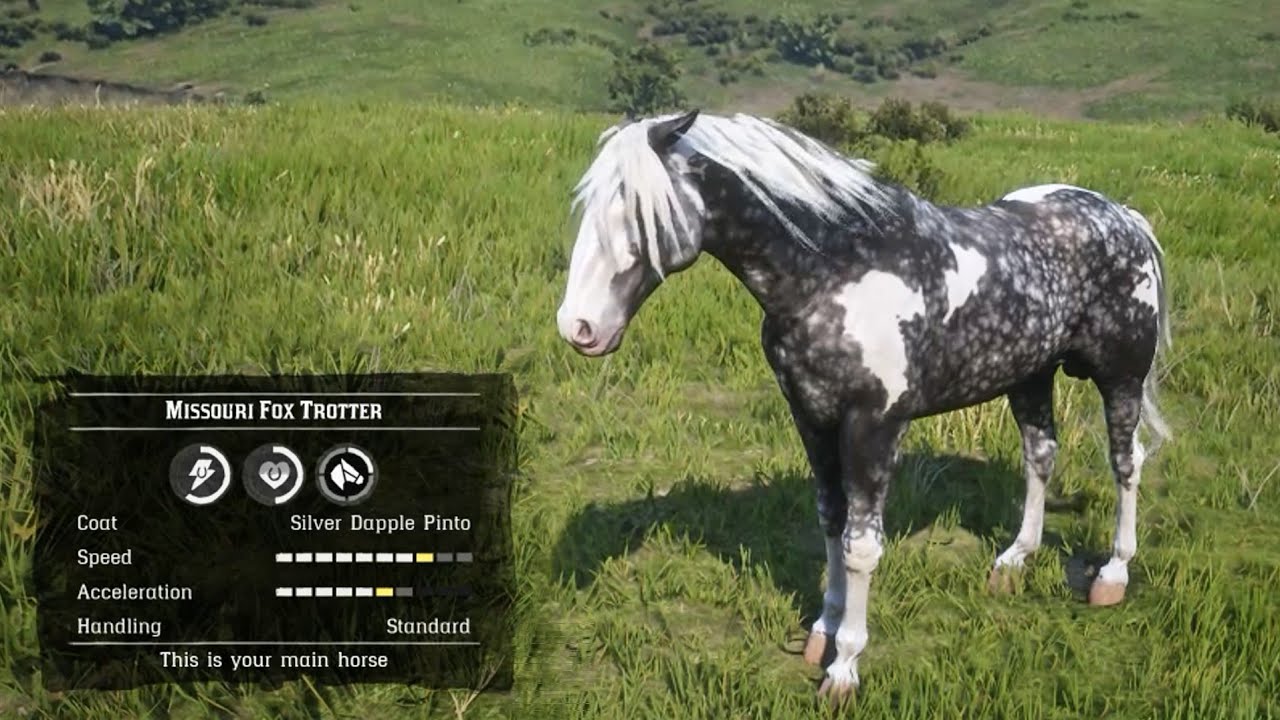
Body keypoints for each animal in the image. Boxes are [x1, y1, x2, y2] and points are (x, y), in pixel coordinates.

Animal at [554, 109, 1172, 703]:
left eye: (639, 211)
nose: (578, 327)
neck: (835, 273)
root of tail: (1124, 217)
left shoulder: (873, 426)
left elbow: (861, 545)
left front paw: (845, 667)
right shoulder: (811, 417)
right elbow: (831, 521)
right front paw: (821, 632)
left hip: (1120, 376)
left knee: (1126, 462)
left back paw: (1112, 576)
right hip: (1031, 377)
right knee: (1040, 456)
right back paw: (1014, 560)